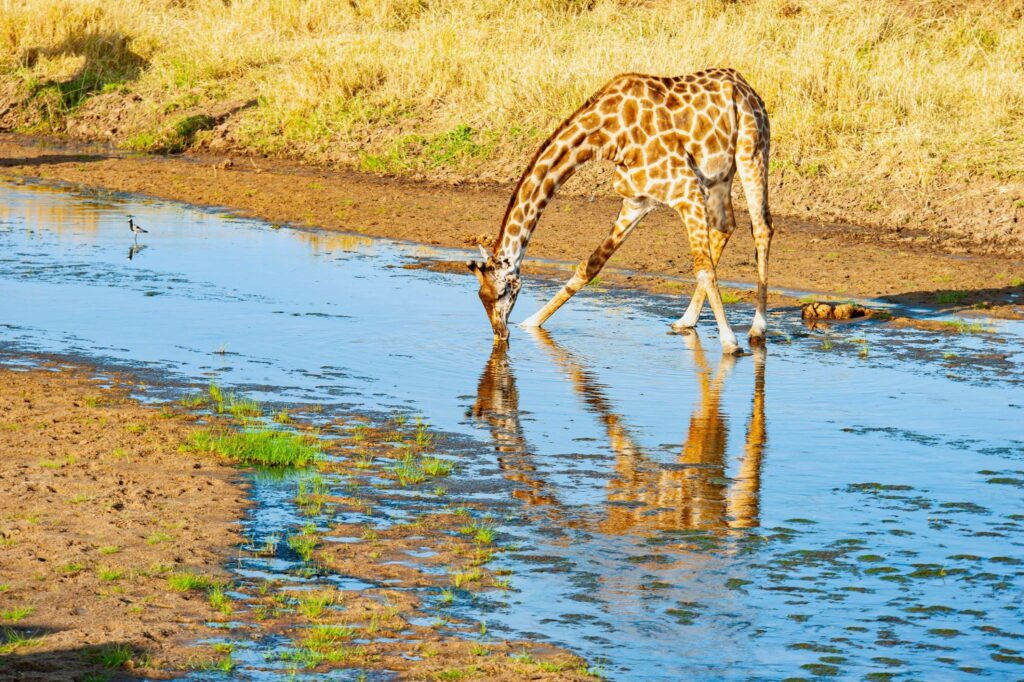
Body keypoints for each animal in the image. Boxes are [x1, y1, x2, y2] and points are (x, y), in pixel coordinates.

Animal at [468, 68, 772, 354]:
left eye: (503, 291)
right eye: (481, 295)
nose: (500, 333)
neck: (607, 135)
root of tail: (745, 85)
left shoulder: (686, 191)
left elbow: (703, 268)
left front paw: (730, 343)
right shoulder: (637, 201)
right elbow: (590, 266)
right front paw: (531, 323)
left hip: (752, 152)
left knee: (762, 227)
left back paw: (757, 329)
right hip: (719, 177)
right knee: (726, 226)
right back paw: (686, 320)